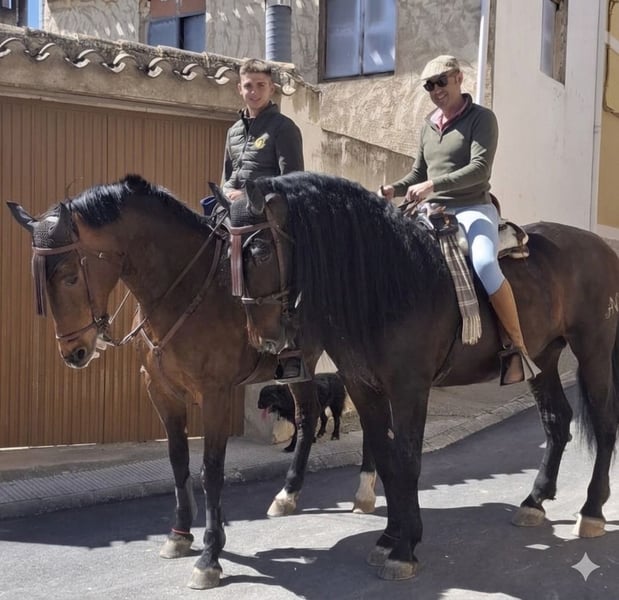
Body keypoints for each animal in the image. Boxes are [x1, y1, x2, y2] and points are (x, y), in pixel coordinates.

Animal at [6, 175, 375, 589]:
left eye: (70, 275)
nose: (75, 352)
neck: (183, 291)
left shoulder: (214, 395)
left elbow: (210, 471)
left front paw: (210, 556)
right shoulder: (161, 392)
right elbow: (178, 460)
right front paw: (180, 534)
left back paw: (365, 493)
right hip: (301, 366)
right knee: (307, 416)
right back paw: (288, 496)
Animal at [219, 170, 619, 581]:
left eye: (262, 250)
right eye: (227, 253)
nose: (264, 338)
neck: (389, 280)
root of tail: (600, 247)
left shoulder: (409, 388)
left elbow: (407, 459)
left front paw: (404, 549)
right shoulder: (363, 387)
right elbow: (386, 458)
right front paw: (389, 538)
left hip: (593, 349)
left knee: (604, 424)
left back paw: (591, 512)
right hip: (542, 358)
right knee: (557, 420)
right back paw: (534, 501)